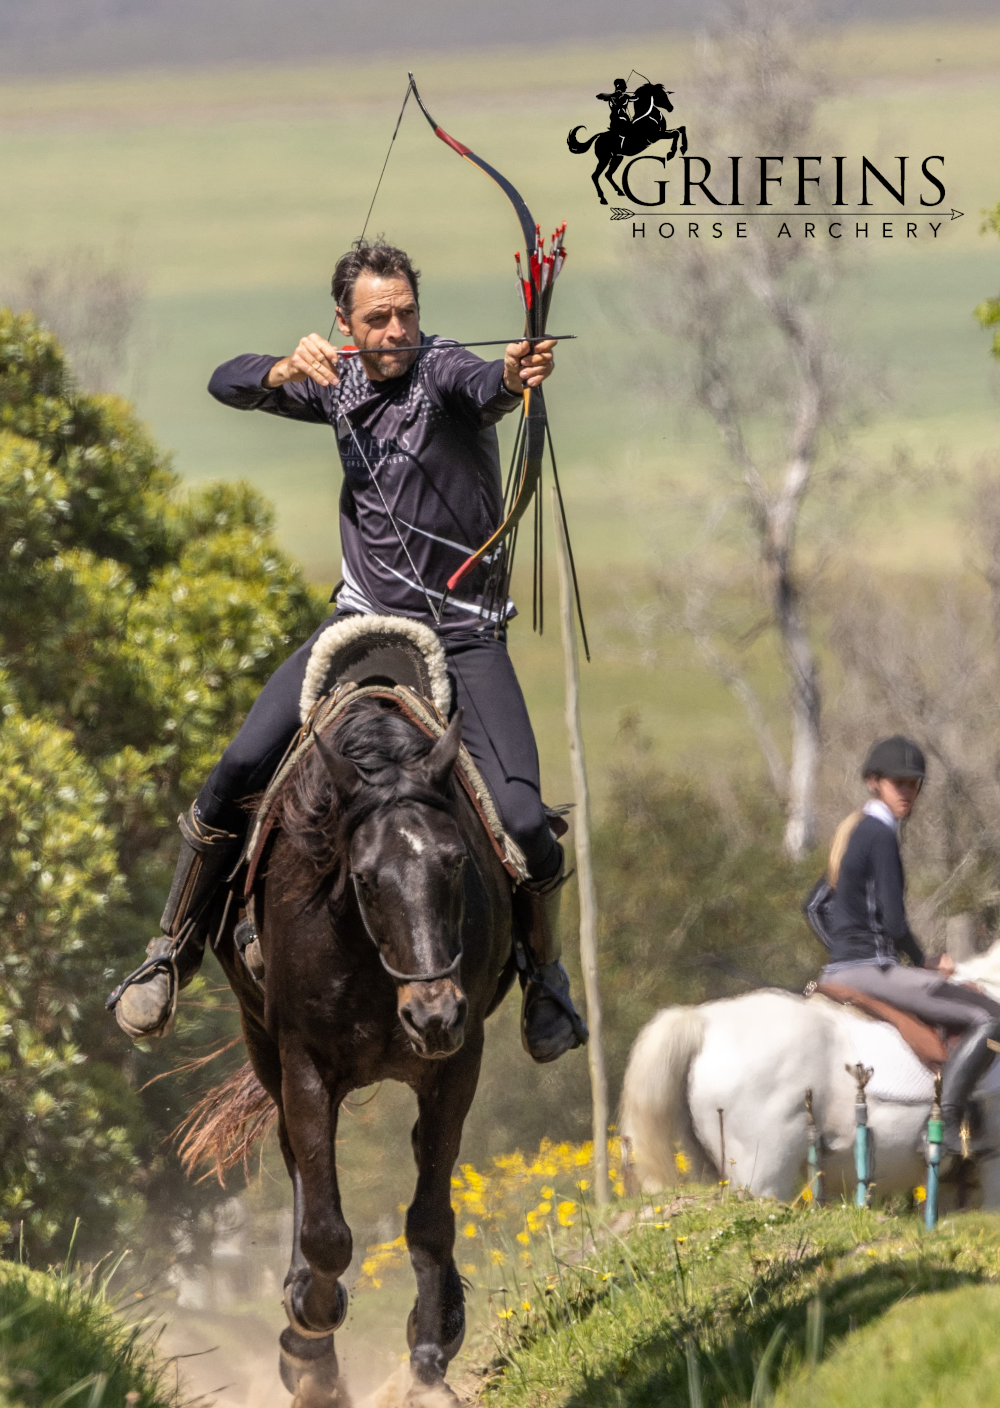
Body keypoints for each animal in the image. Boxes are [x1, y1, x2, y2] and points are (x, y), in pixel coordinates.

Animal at [178, 698, 515, 1407]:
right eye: (365, 877)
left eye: (454, 860)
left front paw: (429, 1357)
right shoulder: (305, 1065)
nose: (433, 1013)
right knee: (297, 1161)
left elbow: (429, 1219)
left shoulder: (455, 1064)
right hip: (265, 1048)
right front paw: (308, 1339)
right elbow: (326, 1232)